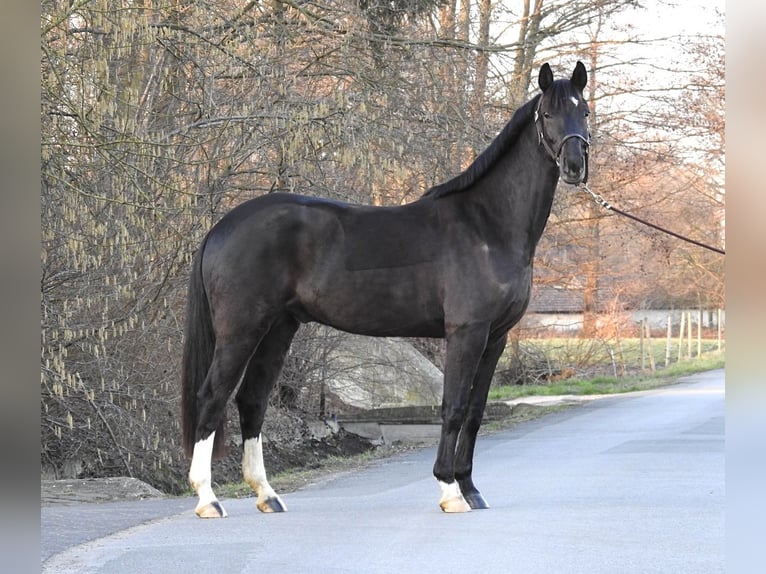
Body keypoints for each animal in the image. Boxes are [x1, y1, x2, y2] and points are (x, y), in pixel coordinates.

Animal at [183, 60, 592, 520]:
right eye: (548, 114)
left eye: (584, 111)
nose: (574, 165)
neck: (487, 225)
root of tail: (221, 228)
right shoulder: (466, 333)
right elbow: (452, 407)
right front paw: (450, 491)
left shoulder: (495, 338)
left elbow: (474, 411)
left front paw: (471, 489)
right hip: (241, 330)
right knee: (212, 398)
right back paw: (208, 499)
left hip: (278, 328)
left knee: (252, 401)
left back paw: (266, 494)